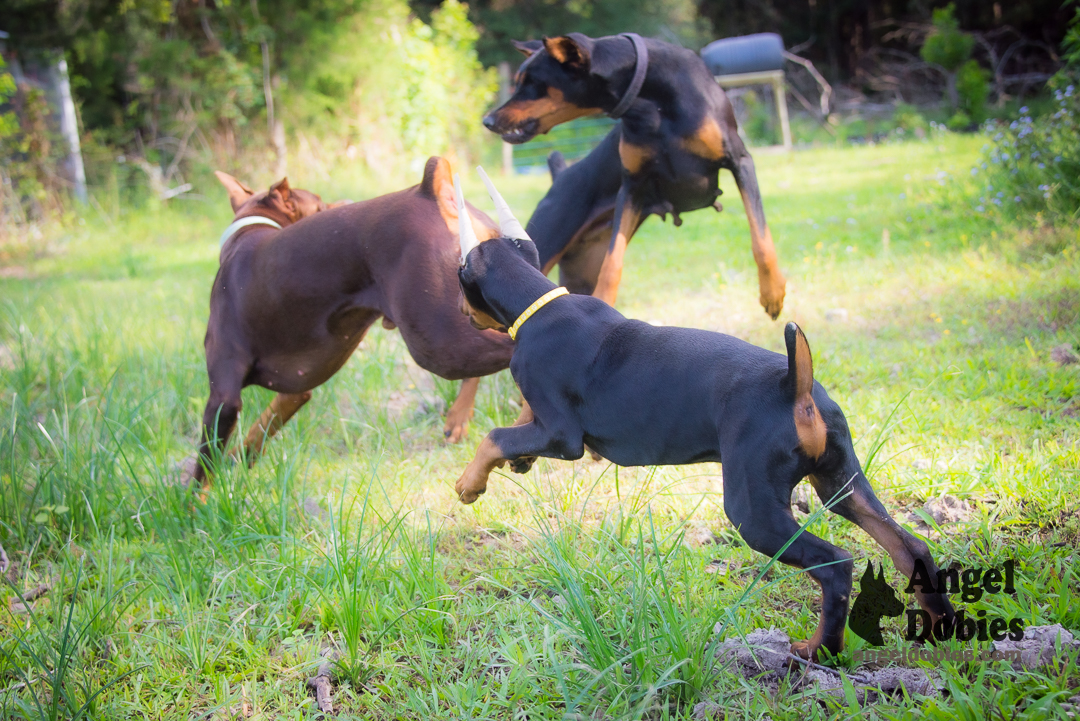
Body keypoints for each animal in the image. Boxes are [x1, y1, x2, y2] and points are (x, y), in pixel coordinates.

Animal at [451, 174, 950, 660]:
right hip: (839, 481)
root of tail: (795, 386)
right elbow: (518, 437)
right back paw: (939, 629)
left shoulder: (562, 434)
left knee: (836, 566)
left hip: (754, 509)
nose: (461, 315)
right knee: (911, 547)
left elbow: (496, 436)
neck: (540, 304)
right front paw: (519, 464)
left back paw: (819, 650)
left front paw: (470, 484)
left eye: (459, 278)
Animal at [488, 32, 786, 317]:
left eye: (532, 81)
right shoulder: (632, 186)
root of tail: (560, 175)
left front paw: (772, 292)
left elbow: (761, 237)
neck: (651, 98)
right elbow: (612, 263)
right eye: (519, 80)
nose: (487, 120)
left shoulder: (740, 161)